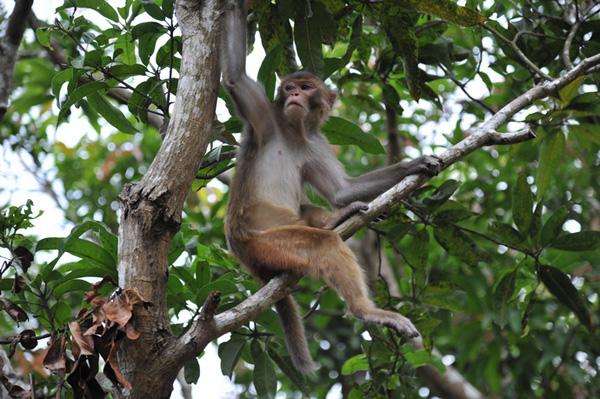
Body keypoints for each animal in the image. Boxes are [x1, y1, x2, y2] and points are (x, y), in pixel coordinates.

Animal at [219, 0, 440, 376]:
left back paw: (338, 218)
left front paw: (413, 166)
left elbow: (341, 190)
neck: (293, 131)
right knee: (319, 245)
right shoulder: (265, 116)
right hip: (264, 244)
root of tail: (242, 253)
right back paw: (365, 308)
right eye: (289, 88)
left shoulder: (315, 143)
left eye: (306, 87)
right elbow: (234, 77)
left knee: (313, 210)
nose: (294, 94)